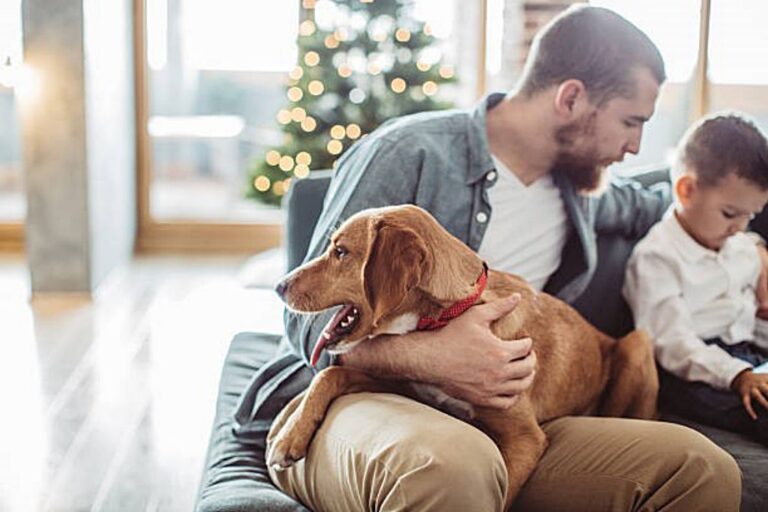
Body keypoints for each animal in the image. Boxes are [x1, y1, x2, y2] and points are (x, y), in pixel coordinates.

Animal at [268, 205, 656, 512]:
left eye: (341, 252)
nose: (278, 287)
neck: (450, 312)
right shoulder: (404, 383)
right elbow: (329, 375)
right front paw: (290, 436)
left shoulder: (526, 439)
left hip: (638, 342)